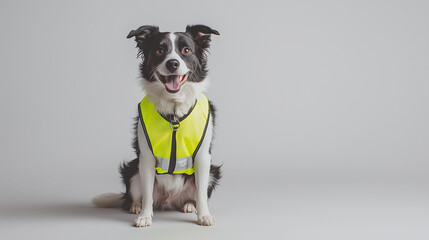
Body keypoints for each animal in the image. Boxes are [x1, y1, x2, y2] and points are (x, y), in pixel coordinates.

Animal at [92, 24, 222, 227]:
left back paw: (189, 205)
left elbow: (201, 193)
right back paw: (135, 206)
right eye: (160, 51)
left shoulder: (203, 158)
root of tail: (169, 199)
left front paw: (204, 215)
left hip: (213, 173)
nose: (172, 64)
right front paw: (145, 216)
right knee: (137, 196)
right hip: (132, 169)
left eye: (186, 50)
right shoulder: (146, 158)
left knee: (194, 194)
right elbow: (147, 194)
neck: (174, 111)